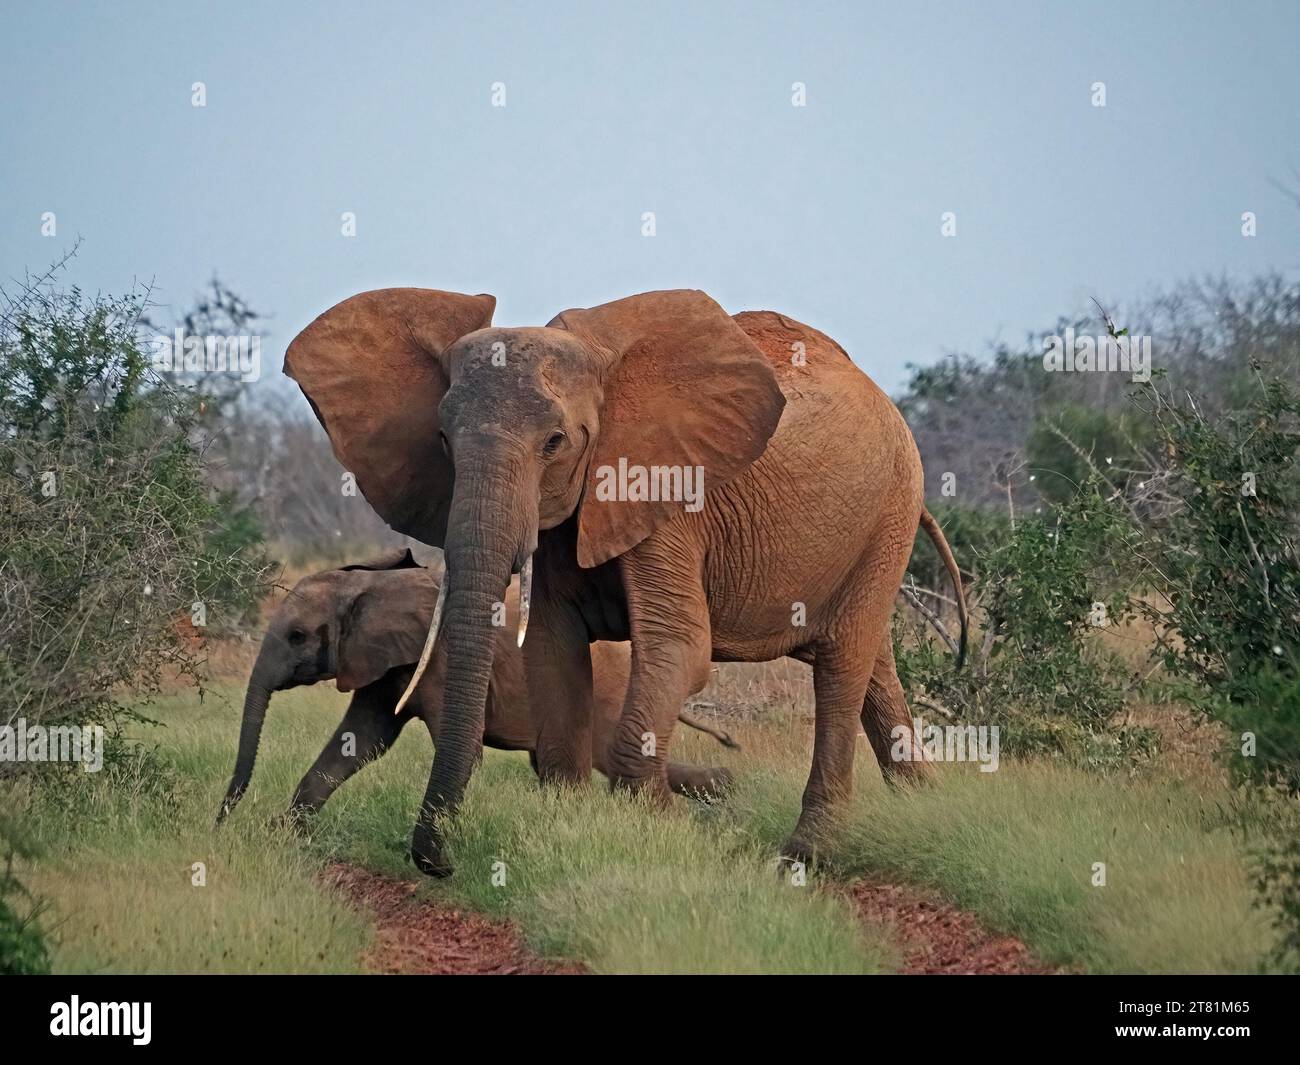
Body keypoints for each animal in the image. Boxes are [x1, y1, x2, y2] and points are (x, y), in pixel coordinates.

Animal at [216, 549, 735, 825]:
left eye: (297, 636)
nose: (222, 820)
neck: (372, 584)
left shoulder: (441, 661)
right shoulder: (384, 663)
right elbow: (360, 740)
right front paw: (288, 834)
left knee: (607, 756)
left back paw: (725, 793)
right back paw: (728, 791)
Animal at [284, 286, 968, 875]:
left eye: (555, 442)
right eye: (444, 442)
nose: (437, 861)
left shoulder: (665, 495)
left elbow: (679, 648)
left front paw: (679, 836)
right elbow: (552, 651)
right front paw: (567, 831)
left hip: (890, 510)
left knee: (841, 665)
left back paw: (803, 859)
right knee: (872, 666)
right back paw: (922, 806)